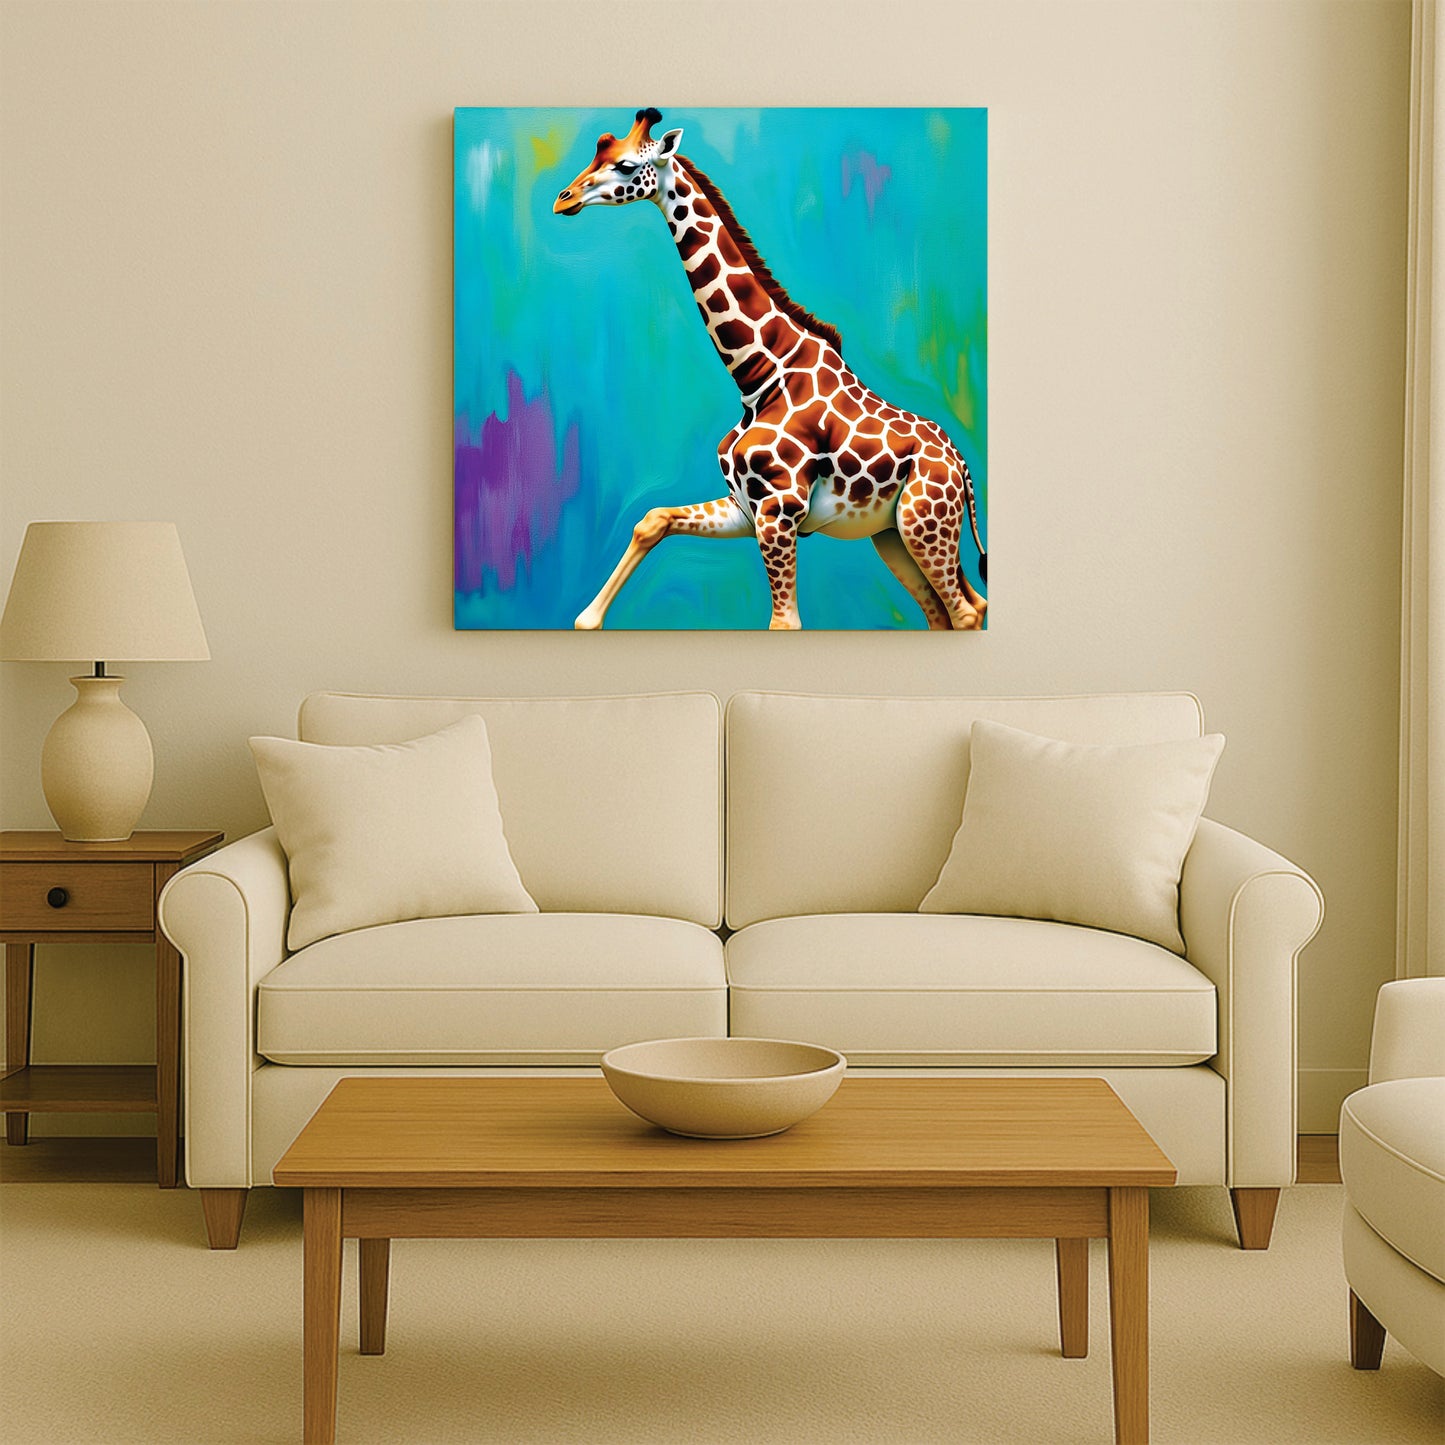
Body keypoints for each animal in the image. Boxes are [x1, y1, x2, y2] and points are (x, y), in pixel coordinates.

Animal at [554, 108, 987, 631]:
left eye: (623, 165)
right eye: (596, 152)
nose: (563, 199)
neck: (758, 375)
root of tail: (962, 467)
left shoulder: (779, 512)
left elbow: (785, 622)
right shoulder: (747, 508)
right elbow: (652, 519)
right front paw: (587, 618)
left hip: (925, 523)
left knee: (965, 611)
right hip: (892, 535)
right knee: (949, 610)